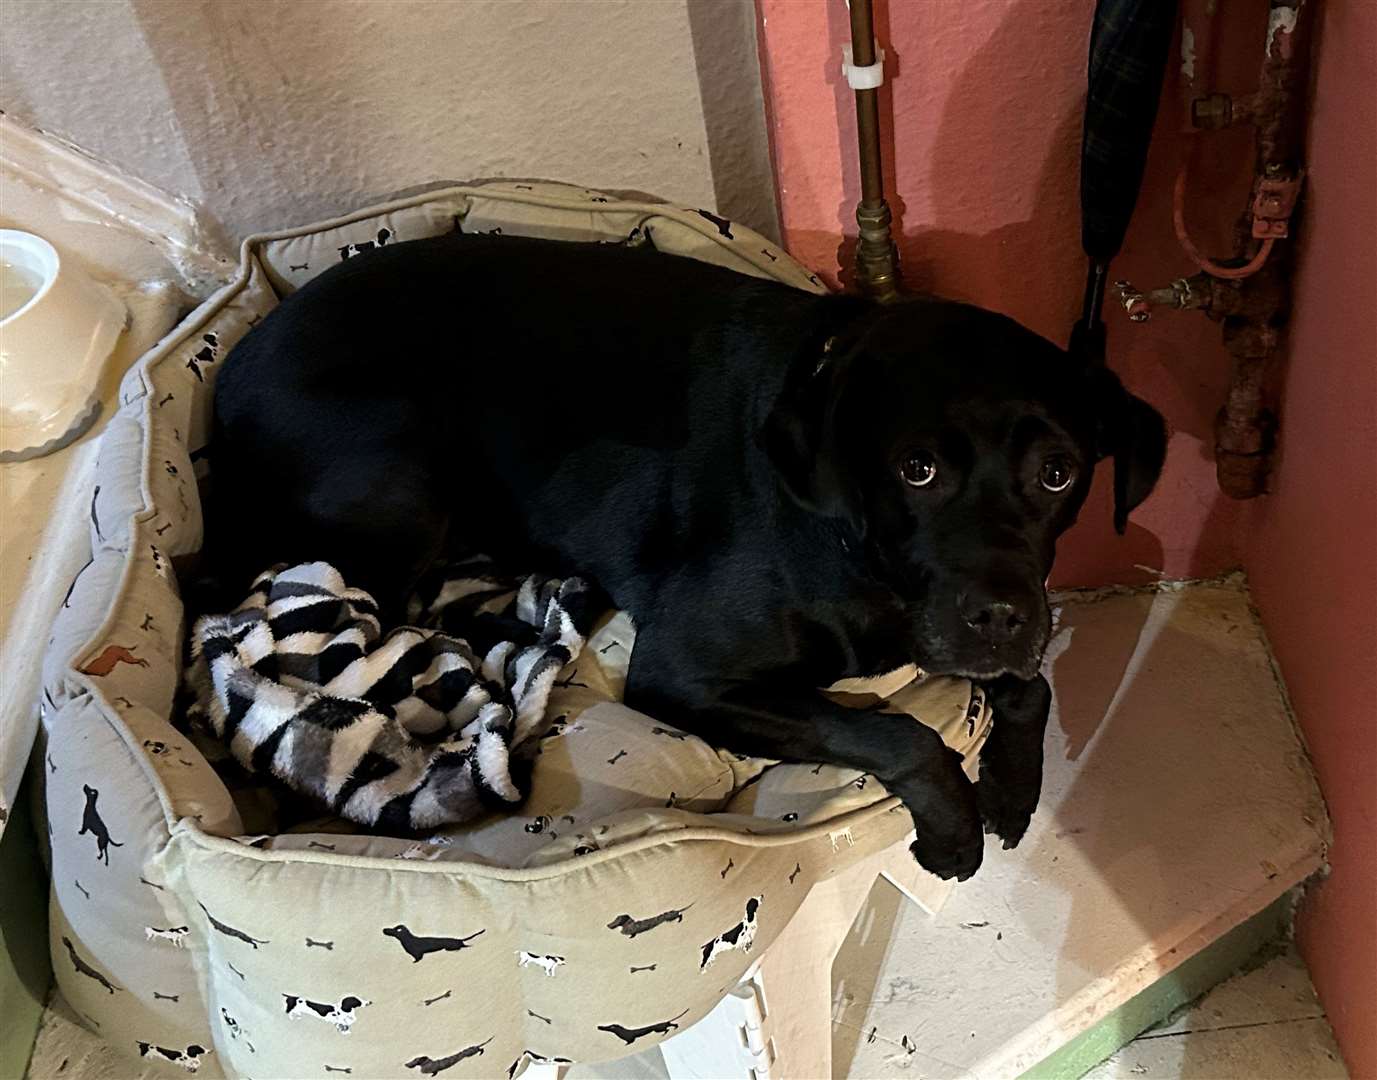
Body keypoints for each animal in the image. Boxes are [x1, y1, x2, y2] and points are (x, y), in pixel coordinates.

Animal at [209, 231, 1167, 881]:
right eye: (917, 469)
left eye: (1057, 473)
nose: (1000, 617)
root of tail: (235, 369)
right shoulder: (686, 675)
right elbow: (894, 730)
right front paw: (953, 826)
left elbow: (1029, 686)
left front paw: (1009, 787)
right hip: (399, 469)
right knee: (383, 621)